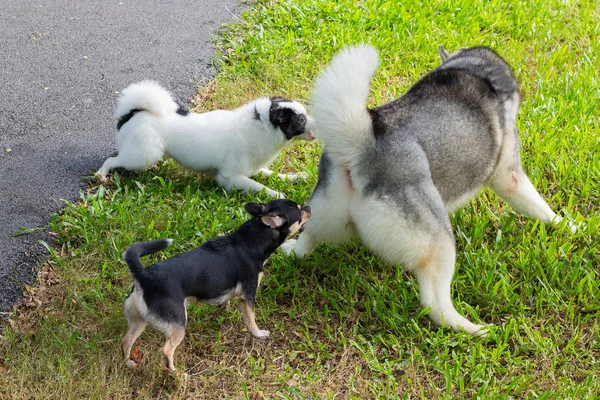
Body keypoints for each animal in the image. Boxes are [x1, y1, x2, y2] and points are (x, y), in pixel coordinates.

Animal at [96, 80, 316, 198]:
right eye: (302, 119)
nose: (318, 121)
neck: (262, 125)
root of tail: (131, 113)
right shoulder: (229, 177)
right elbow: (259, 187)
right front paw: (277, 195)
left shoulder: (252, 168)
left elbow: (274, 175)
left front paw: (297, 177)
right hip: (144, 157)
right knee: (112, 160)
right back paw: (101, 175)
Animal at [284, 45, 576, 336]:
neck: (473, 69)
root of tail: (364, 145)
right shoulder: (508, 175)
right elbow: (540, 207)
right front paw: (571, 226)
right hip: (439, 242)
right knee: (435, 303)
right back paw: (474, 329)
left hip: (321, 211)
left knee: (306, 242)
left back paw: (291, 250)